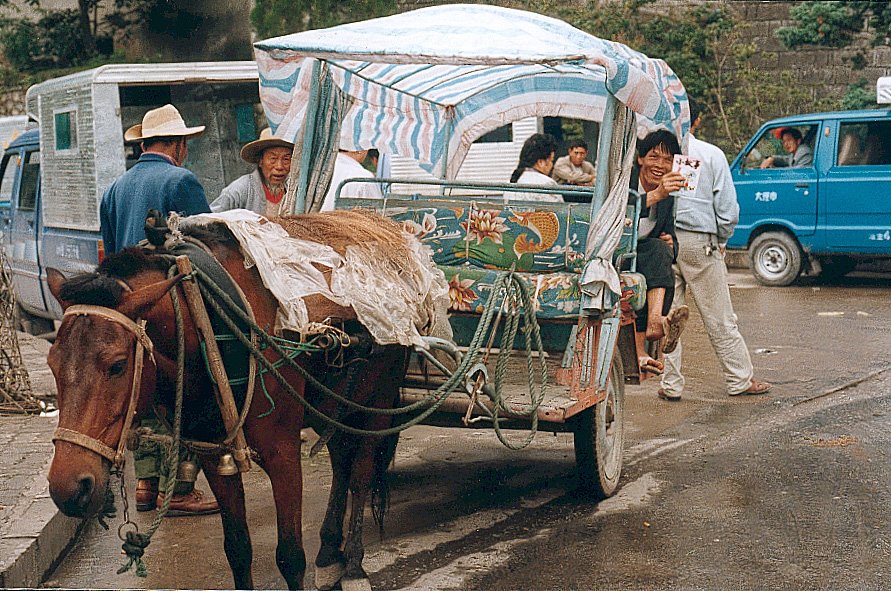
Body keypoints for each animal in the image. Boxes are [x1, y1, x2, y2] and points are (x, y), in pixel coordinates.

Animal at [44, 210, 414, 588]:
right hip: (336, 404)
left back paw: (353, 564)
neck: (205, 317)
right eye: (52, 363)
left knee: (361, 472)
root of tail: (379, 222)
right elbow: (237, 549)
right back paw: (328, 554)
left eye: (117, 365)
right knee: (341, 461)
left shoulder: (282, 451)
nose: (67, 487)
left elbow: (291, 556)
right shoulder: (213, 452)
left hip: (378, 400)